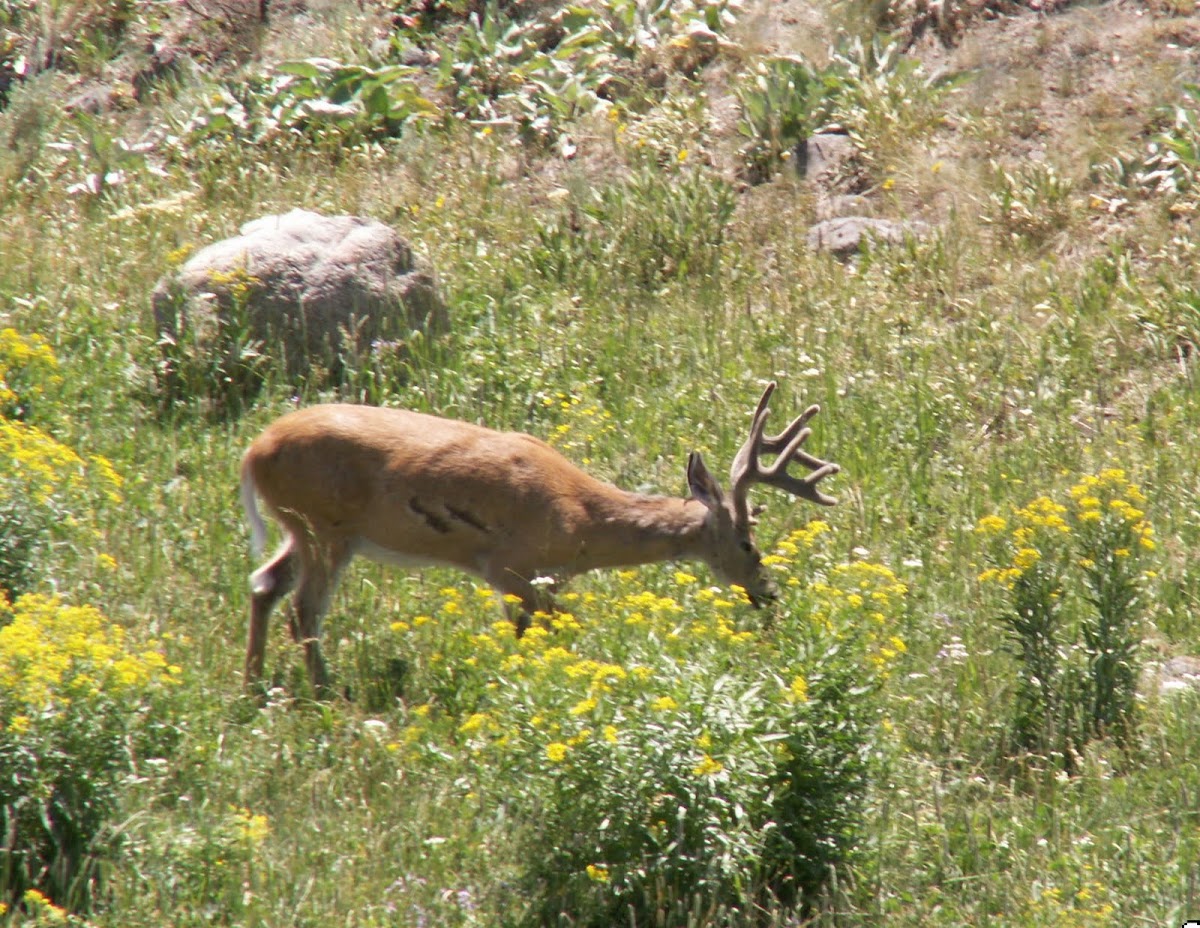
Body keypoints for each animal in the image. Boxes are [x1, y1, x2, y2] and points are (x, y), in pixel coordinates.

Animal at [240, 382, 839, 694]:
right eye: (748, 543)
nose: (768, 593)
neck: (583, 520)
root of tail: (252, 452)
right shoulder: (509, 565)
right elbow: (530, 636)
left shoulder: (544, 579)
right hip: (324, 525)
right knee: (303, 610)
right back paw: (325, 694)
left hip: (302, 528)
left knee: (264, 583)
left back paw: (255, 685)